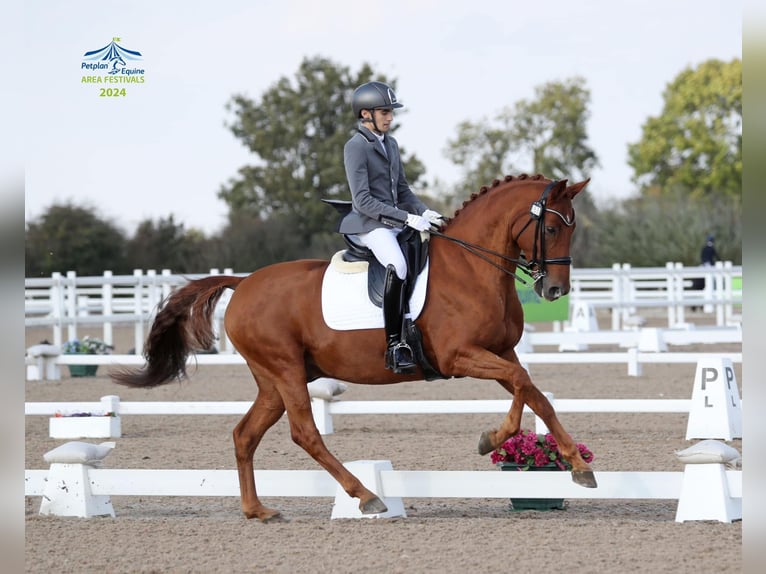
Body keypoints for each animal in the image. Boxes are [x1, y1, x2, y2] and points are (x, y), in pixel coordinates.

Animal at [112, 173, 596, 522]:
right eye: (553, 226)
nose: (555, 290)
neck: (471, 267)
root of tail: (244, 282)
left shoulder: (502, 352)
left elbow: (532, 391)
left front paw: (575, 464)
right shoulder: (459, 356)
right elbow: (522, 383)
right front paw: (494, 439)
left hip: (273, 380)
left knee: (245, 434)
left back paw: (258, 510)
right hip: (285, 370)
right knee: (305, 433)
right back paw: (365, 496)